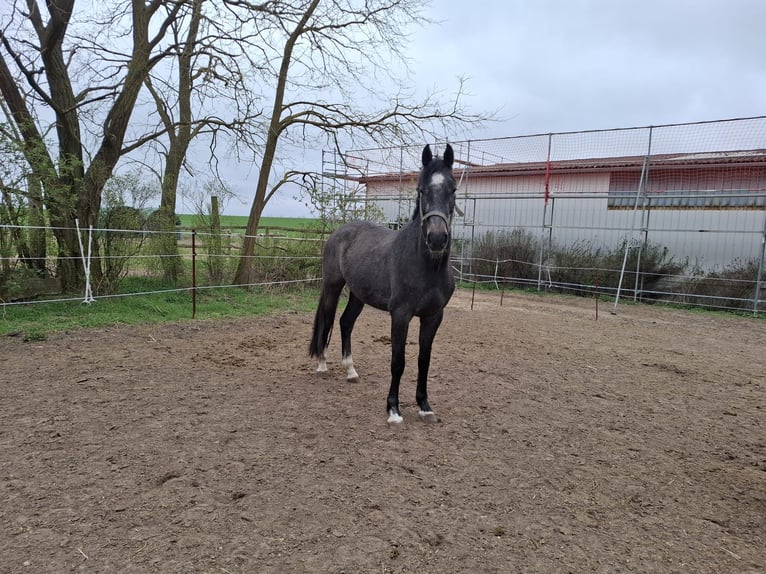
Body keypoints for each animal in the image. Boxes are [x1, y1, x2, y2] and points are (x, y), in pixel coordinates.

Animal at [309, 144, 457, 427]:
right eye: (421, 190)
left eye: (453, 189)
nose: (437, 238)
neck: (427, 266)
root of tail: (338, 232)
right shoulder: (400, 315)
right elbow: (398, 361)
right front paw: (393, 410)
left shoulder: (434, 316)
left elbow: (424, 360)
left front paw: (424, 406)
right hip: (333, 287)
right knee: (327, 320)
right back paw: (322, 365)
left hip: (358, 295)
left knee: (345, 323)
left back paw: (351, 371)